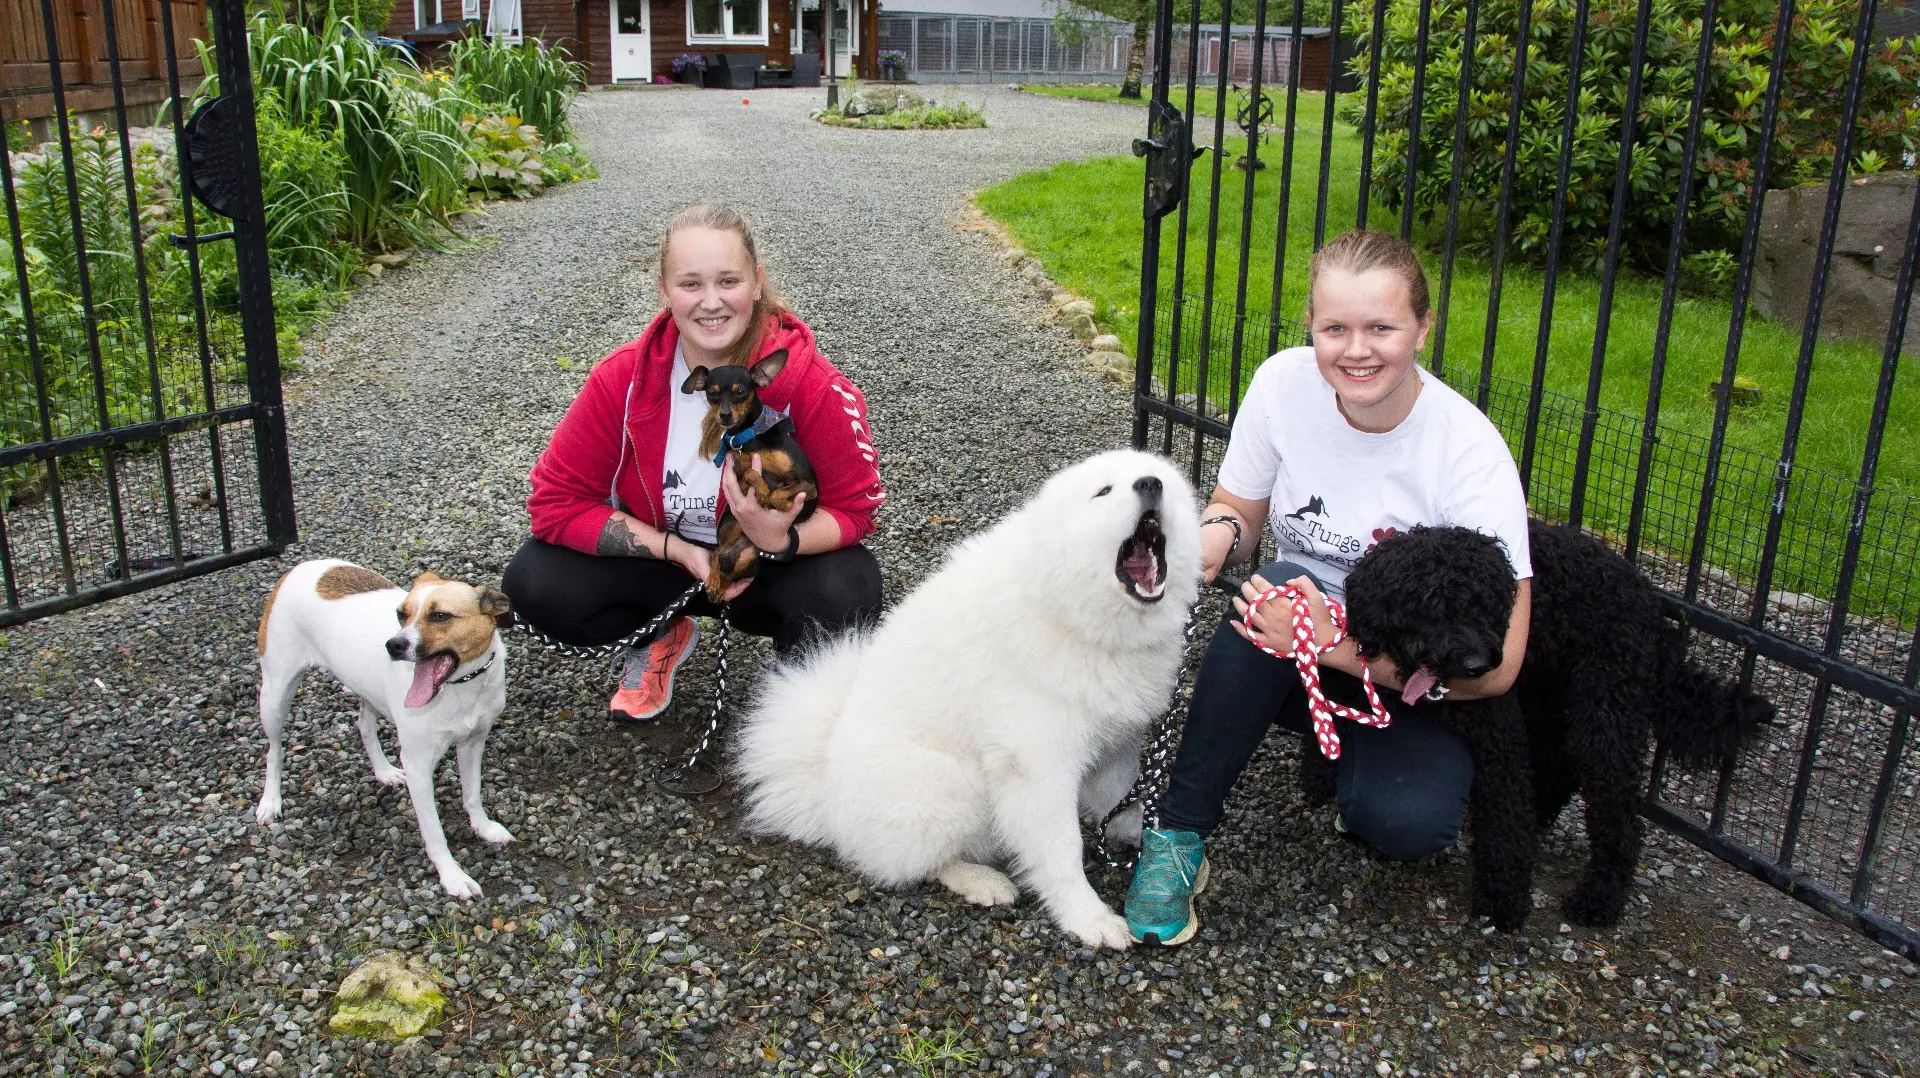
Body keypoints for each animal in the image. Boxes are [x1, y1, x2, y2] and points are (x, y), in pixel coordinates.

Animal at [683, 349, 817, 599]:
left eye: (740, 392)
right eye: (711, 394)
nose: (725, 415)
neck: (749, 437)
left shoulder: (807, 484)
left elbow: (778, 493)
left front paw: (776, 500)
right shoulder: (737, 478)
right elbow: (750, 474)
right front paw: (763, 489)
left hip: (750, 556)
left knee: (728, 565)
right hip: (733, 525)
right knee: (718, 553)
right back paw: (713, 581)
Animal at [725, 449, 1190, 945]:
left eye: (1159, 479)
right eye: (1103, 492)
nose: (1150, 484)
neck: (1072, 612)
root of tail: (824, 789)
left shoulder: (1115, 740)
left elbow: (1122, 794)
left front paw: (1142, 833)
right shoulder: (1036, 765)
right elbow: (1061, 848)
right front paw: (1088, 918)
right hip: (952, 783)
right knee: (919, 861)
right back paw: (980, 880)